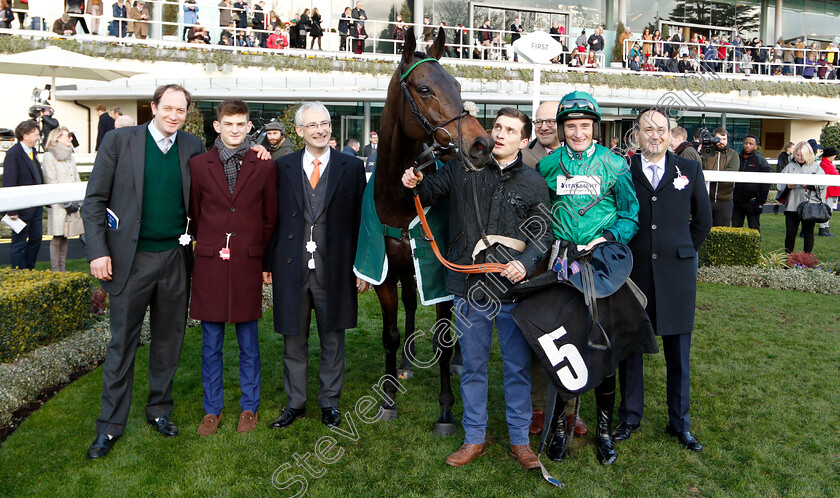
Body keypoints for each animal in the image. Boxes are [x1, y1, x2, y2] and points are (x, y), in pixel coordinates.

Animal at [372, 28, 492, 436]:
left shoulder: (439, 269)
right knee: (410, 302)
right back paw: (408, 361)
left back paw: (457, 361)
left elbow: (444, 336)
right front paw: (388, 400)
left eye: (457, 84)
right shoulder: (385, 273)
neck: (401, 199)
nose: (482, 144)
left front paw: (445, 411)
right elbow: (390, 335)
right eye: (424, 89)